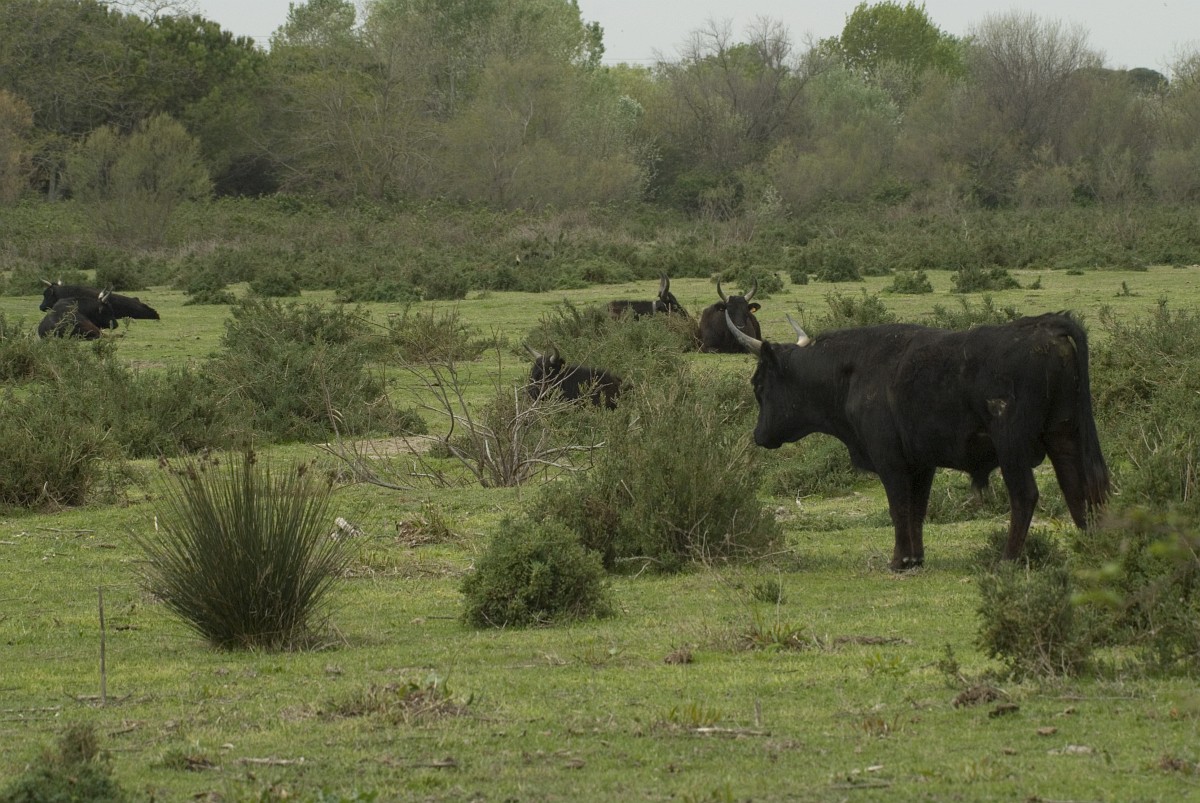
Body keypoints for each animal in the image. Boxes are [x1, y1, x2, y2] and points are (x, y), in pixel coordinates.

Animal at [728, 311, 1110, 571]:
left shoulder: (890, 461)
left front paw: (900, 559)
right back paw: (1091, 551)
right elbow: (917, 509)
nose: (758, 435)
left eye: (759, 384)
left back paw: (1007, 560)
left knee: (1025, 496)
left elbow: (898, 506)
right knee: (1079, 490)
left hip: (1012, 446)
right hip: (1064, 436)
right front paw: (916, 556)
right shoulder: (922, 464)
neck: (851, 371)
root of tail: (1044, 326)